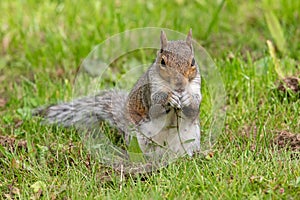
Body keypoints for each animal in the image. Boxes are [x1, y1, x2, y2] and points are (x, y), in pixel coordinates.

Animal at [34, 29, 202, 161]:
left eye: (193, 62)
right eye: (162, 62)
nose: (179, 84)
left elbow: (194, 110)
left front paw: (188, 99)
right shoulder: (149, 90)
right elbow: (155, 110)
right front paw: (169, 98)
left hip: (191, 137)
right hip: (141, 139)